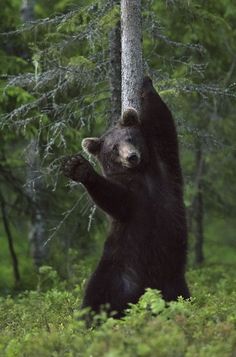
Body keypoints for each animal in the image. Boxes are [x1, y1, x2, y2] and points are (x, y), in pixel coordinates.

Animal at [62, 76, 190, 316]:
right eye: (114, 148)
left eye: (130, 138)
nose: (131, 157)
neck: (141, 173)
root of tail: (144, 292)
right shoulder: (131, 198)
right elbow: (114, 198)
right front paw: (78, 168)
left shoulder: (164, 165)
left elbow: (162, 120)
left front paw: (147, 84)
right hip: (117, 270)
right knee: (95, 297)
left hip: (174, 281)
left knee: (182, 298)